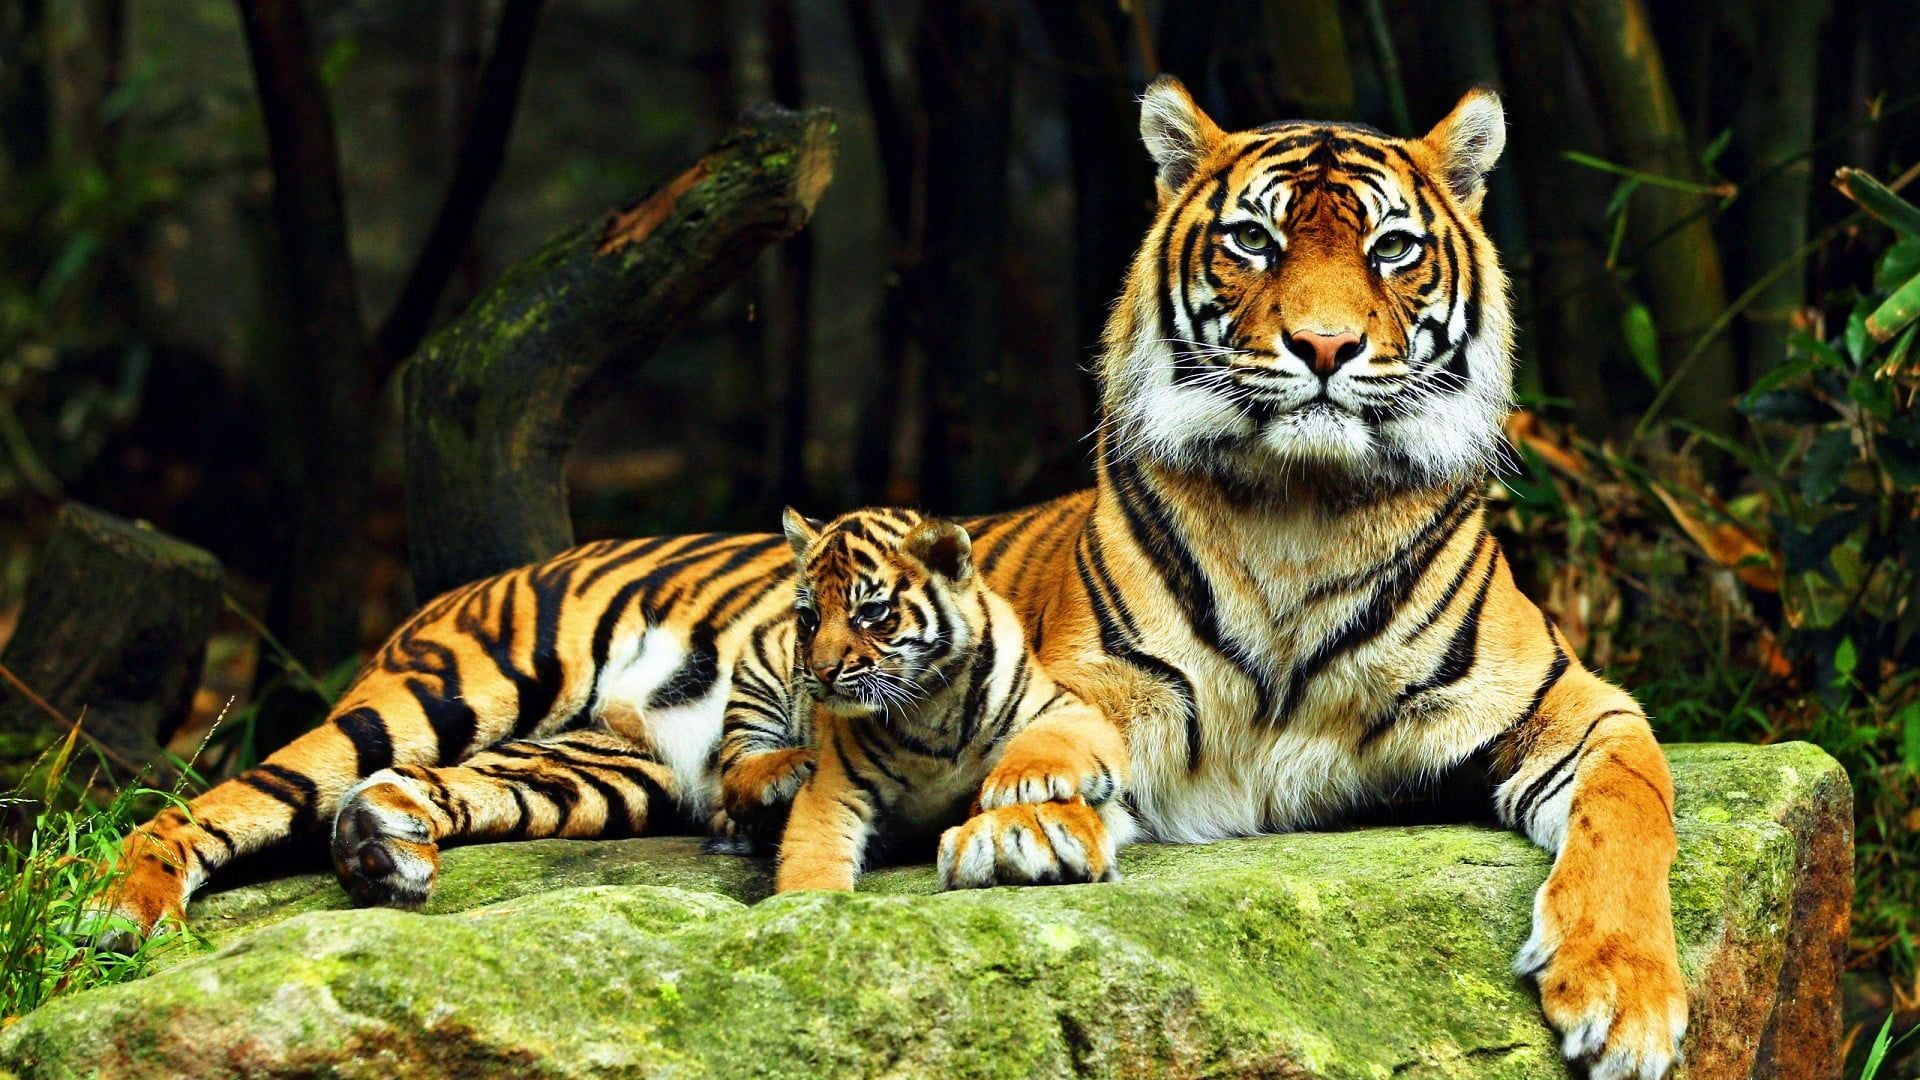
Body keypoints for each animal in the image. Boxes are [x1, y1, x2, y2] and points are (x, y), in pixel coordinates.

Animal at [112, 77, 1681, 1076]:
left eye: (1395, 251)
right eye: (1252, 241)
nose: (1325, 350)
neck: (1302, 508)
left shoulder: (1574, 706)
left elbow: (1630, 815)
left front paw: (1628, 1001)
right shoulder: (1104, 684)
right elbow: (1059, 746)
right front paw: (1029, 825)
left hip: (585, 769)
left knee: (427, 795)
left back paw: (401, 846)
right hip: (436, 688)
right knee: (224, 800)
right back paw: (126, 914)